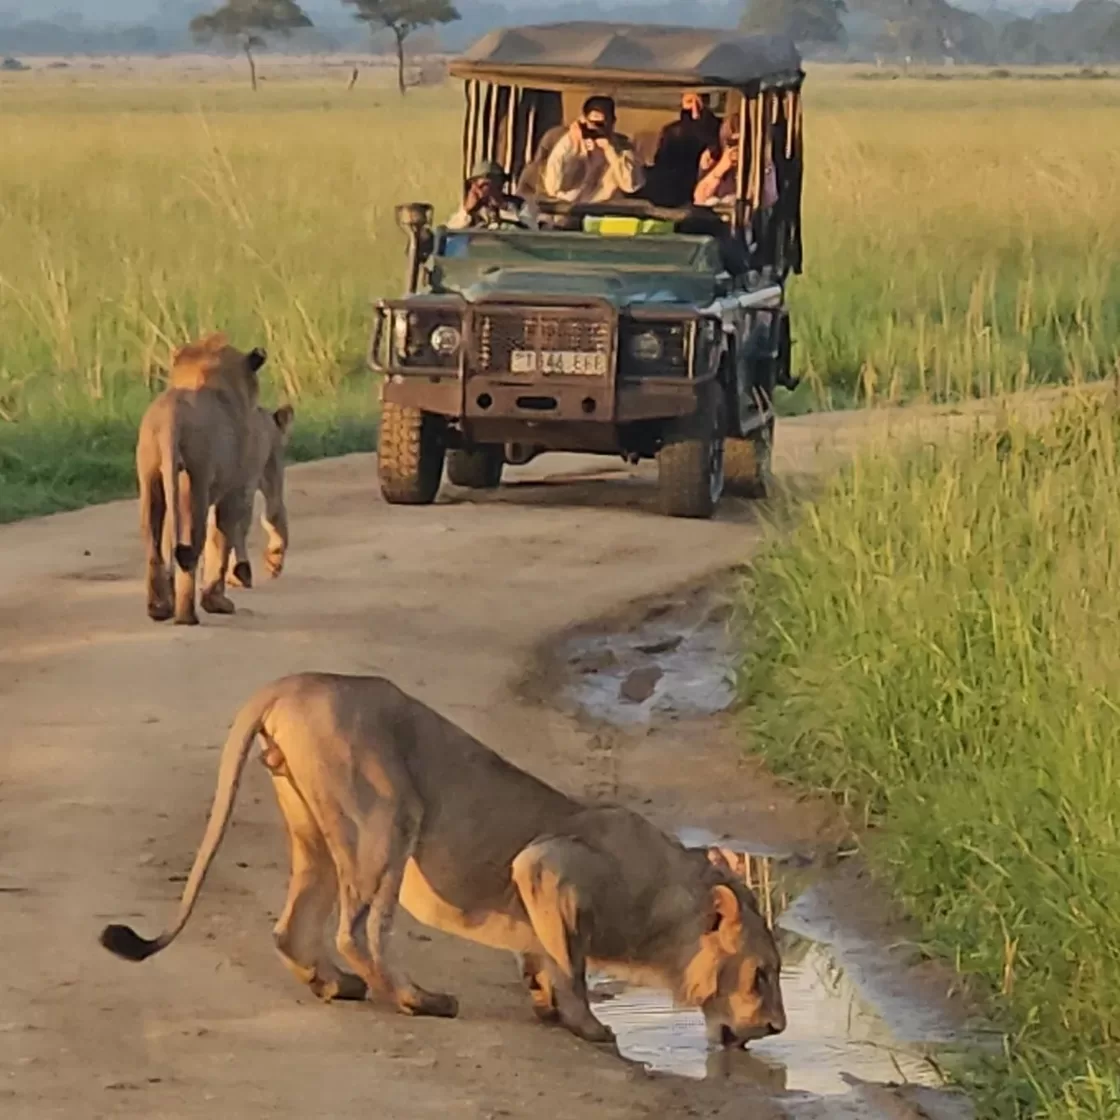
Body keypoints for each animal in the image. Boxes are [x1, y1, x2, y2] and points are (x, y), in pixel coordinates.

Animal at [99, 673, 787, 1049]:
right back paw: (416, 999)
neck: (671, 902)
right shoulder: (548, 863)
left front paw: (543, 998)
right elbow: (571, 959)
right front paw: (587, 1026)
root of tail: (291, 684)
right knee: (358, 930)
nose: (780, 1028)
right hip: (389, 815)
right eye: (761, 975)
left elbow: (545, 953)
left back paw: (335, 985)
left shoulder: (541, 880)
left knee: (293, 928)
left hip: (316, 831)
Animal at [135, 333, 267, 625]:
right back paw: (186, 615)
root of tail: (171, 416)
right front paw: (216, 602)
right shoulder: (235, 488)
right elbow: (223, 536)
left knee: (154, 543)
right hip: (194, 480)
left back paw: (158, 609)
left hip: (152, 476)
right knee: (191, 544)